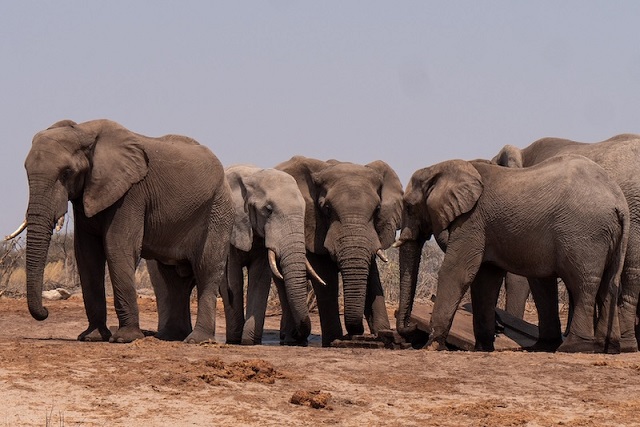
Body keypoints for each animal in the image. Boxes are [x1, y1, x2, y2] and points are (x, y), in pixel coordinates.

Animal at [21, 119, 234, 344]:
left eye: (67, 172)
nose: (45, 312)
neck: (83, 131)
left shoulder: (131, 193)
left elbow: (118, 248)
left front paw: (125, 338)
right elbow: (87, 255)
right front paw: (92, 337)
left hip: (218, 209)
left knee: (206, 269)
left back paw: (197, 340)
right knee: (174, 279)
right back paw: (169, 337)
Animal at [220, 166, 322, 346]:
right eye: (268, 210)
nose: (297, 336)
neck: (253, 175)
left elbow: (259, 279)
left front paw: (249, 341)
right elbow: (233, 280)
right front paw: (235, 340)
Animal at [276, 157, 404, 348]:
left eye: (377, 209)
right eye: (327, 209)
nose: (356, 333)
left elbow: (371, 274)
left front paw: (383, 334)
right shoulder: (313, 226)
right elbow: (325, 275)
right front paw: (333, 340)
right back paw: (290, 338)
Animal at [396, 155, 632, 352]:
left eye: (409, 206)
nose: (410, 328)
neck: (442, 167)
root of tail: (619, 202)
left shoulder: (472, 221)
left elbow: (457, 272)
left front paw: (432, 346)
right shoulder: (485, 227)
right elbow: (485, 280)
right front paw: (482, 348)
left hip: (584, 234)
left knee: (583, 284)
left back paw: (572, 347)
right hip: (608, 236)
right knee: (609, 284)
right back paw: (606, 347)